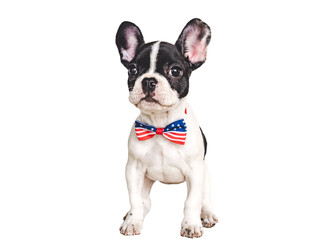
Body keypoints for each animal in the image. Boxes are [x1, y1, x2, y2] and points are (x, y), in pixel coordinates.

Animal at [115, 17, 218, 237]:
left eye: (175, 71)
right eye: (132, 70)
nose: (148, 81)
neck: (161, 125)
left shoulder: (196, 171)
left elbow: (192, 202)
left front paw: (191, 225)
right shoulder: (133, 170)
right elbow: (135, 199)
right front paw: (133, 221)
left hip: (206, 174)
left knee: (204, 199)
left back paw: (206, 215)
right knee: (145, 201)